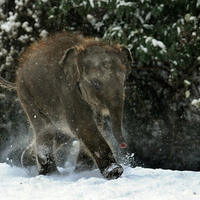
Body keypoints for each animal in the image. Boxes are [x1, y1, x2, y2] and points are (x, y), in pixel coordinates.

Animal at [0, 32, 133, 179]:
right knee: (45, 128)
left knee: (61, 133)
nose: (123, 145)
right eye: (96, 84)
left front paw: (83, 171)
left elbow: (94, 124)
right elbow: (83, 124)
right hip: (27, 94)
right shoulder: (67, 89)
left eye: (123, 82)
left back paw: (28, 162)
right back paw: (50, 174)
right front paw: (114, 171)